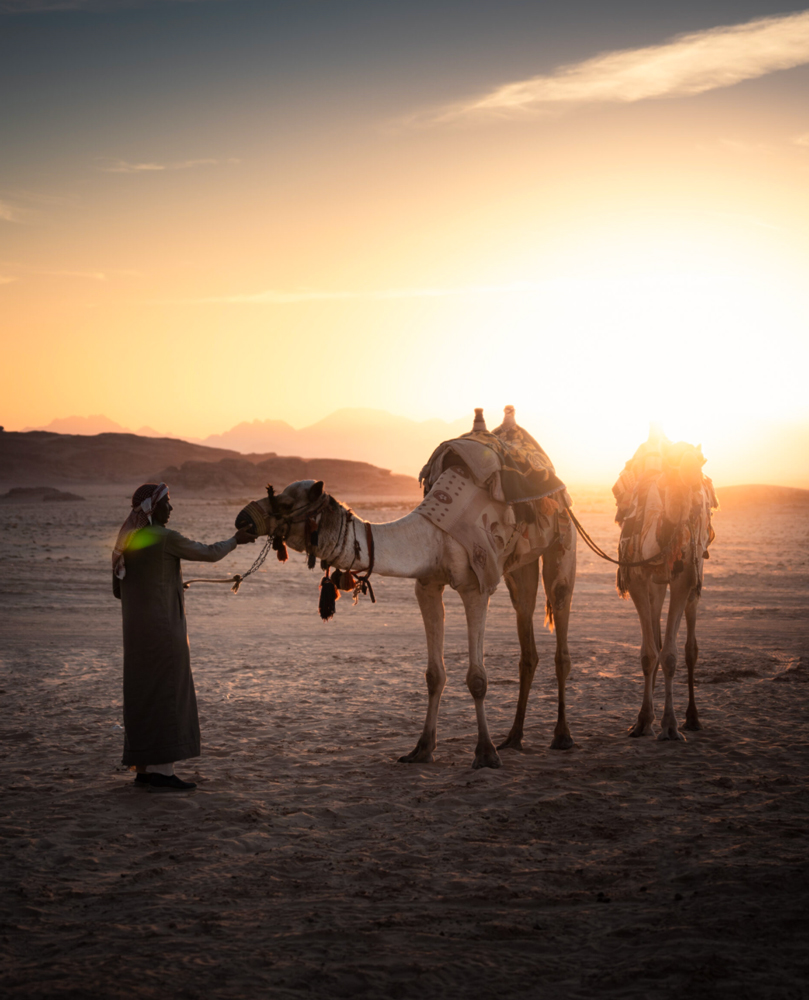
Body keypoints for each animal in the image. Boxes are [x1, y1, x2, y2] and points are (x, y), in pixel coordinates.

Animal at [235, 408, 577, 770]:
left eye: (285, 503)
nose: (242, 519)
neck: (432, 534)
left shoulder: (476, 586)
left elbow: (477, 679)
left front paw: (485, 754)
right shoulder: (427, 585)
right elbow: (434, 674)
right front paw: (421, 749)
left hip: (563, 542)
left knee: (560, 624)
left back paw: (562, 736)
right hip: (521, 565)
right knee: (526, 633)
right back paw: (513, 738)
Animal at [613, 427, 718, 742]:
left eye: (701, 461)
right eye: (672, 465)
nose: (696, 500)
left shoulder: (684, 579)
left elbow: (671, 655)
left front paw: (670, 726)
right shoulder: (637, 577)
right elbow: (649, 653)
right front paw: (642, 721)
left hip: (696, 572)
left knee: (690, 648)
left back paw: (692, 718)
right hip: (656, 584)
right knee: (656, 636)